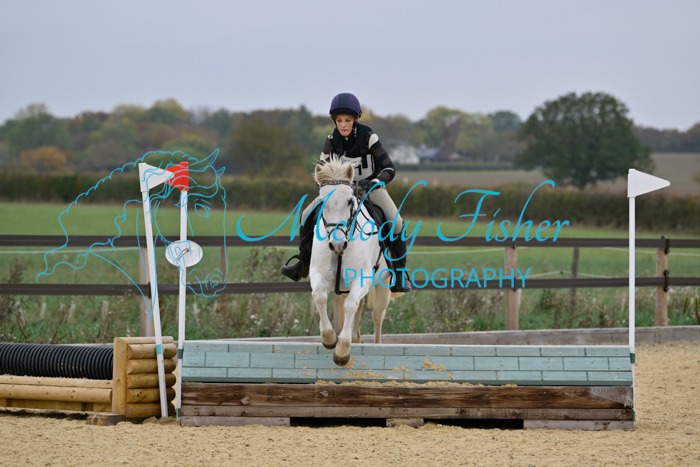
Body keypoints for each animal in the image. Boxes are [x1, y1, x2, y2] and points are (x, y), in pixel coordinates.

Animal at [309, 157, 394, 366]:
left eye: (349, 201)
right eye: (322, 201)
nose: (337, 244)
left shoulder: (361, 279)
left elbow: (350, 305)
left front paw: (342, 351)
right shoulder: (319, 274)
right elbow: (320, 296)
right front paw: (329, 338)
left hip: (384, 285)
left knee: (377, 316)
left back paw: (377, 345)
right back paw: (355, 338)